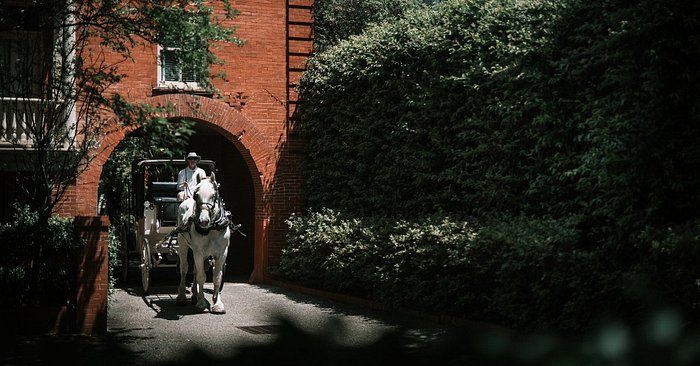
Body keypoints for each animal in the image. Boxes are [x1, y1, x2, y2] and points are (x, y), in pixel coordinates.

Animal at [175, 173, 230, 314]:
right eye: (196, 195)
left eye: (214, 195)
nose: (203, 221)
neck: (212, 228)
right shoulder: (199, 252)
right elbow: (201, 276)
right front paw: (201, 303)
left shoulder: (222, 253)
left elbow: (217, 277)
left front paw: (217, 303)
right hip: (183, 244)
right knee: (184, 268)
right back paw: (182, 296)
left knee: (194, 269)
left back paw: (195, 295)